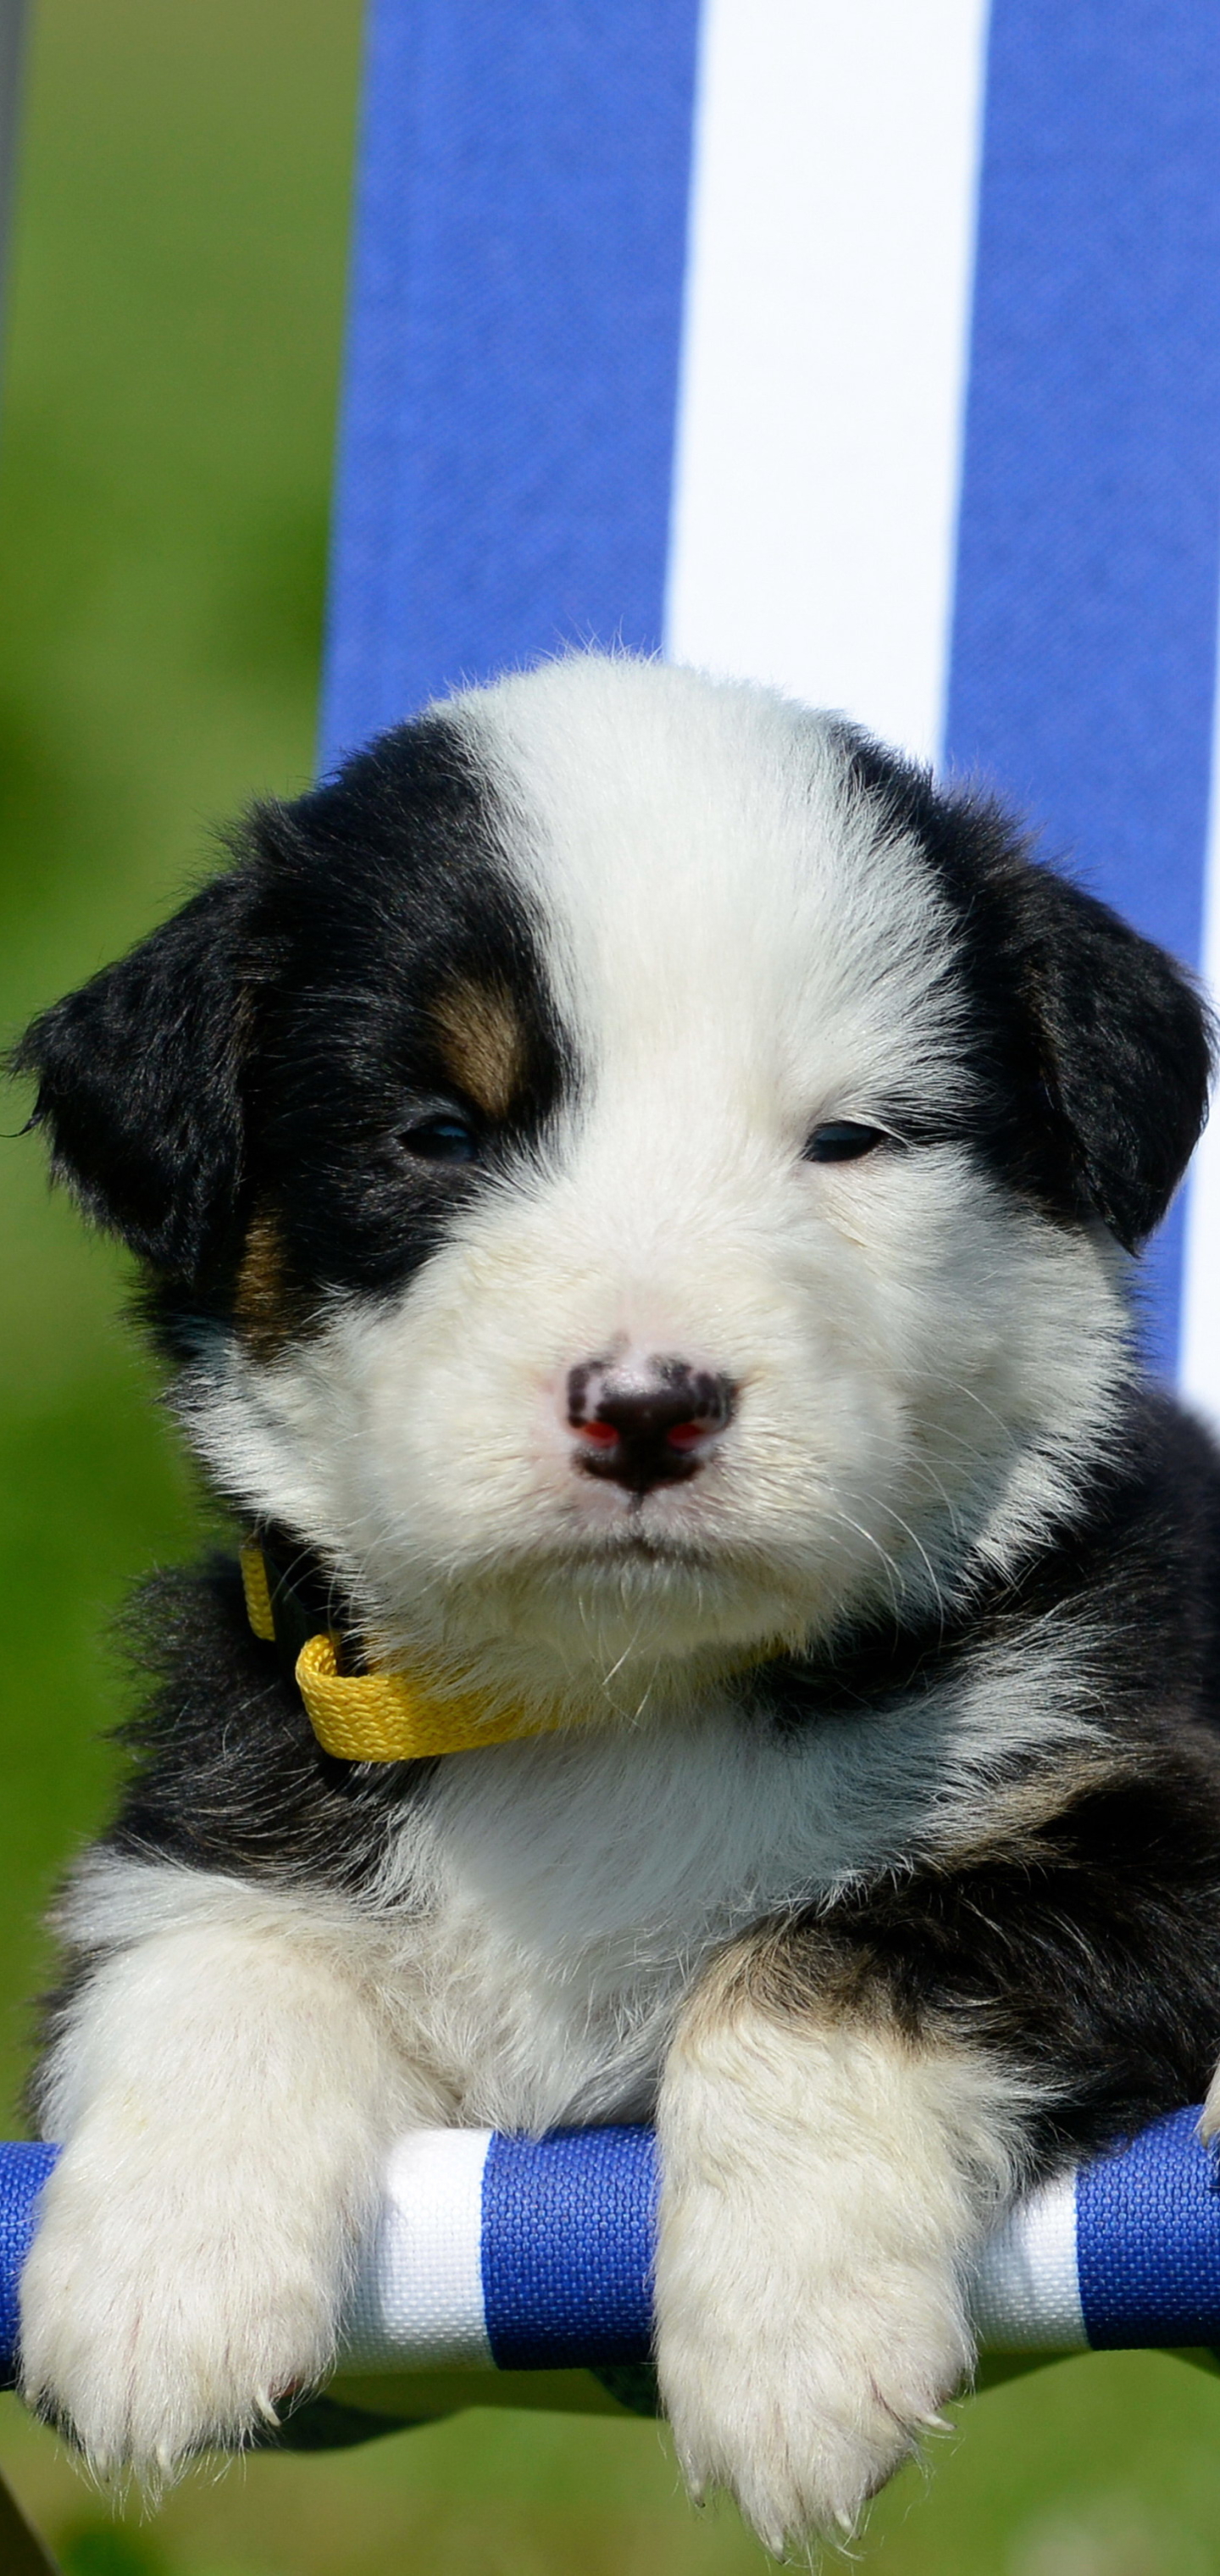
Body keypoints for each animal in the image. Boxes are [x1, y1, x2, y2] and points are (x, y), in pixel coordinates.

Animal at [9, 654, 1220, 2545]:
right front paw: (154, 2282)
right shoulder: (243, 1753)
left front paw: (793, 2348)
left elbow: (824, 1953)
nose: (650, 1403)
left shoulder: (1146, 1796)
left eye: (850, 1140)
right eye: (437, 1131)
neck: (620, 1698)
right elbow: (207, 1945)